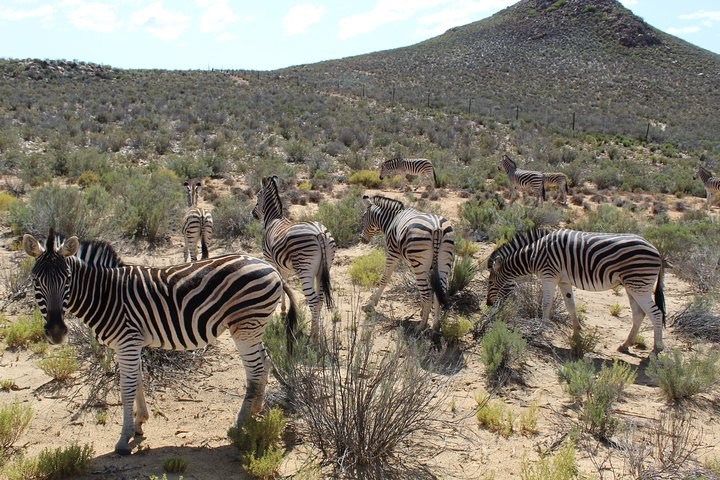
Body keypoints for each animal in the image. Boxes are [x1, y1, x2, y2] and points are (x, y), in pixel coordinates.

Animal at [22, 229, 297, 455]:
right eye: (35, 280)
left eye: (67, 279)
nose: (56, 332)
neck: (105, 295)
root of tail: (271, 268)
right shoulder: (130, 344)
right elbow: (138, 381)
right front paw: (139, 424)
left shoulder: (127, 341)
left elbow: (126, 388)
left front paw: (123, 440)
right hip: (254, 327)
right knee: (265, 362)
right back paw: (255, 411)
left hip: (245, 326)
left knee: (255, 370)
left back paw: (239, 424)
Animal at [252, 175, 335, 339]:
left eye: (257, 196)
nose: (253, 214)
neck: (274, 219)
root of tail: (319, 233)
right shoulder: (282, 266)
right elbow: (284, 284)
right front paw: (284, 312)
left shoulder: (271, 261)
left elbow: (282, 286)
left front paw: (283, 312)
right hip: (323, 269)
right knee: (320, 299)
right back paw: (317, 330)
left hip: (305, 270)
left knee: (313, 301)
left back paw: (313, 335)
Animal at [360, 195, 455, 330]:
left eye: (363, 217)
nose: (362, 239)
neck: (392, 220)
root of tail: (437, 227)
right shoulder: (420, 264)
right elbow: (423, 287)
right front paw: (422, 311)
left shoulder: (392, 253)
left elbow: (385, 278)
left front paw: (371, 304)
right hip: (442, 263)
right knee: (438, 292)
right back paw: (436, 325)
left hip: (420, 261)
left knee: (428, 296)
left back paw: (421, 326)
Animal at [486, 228, 666, 353]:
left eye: (490, 282)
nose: (488, 305)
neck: (534, 255)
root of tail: (657, 251)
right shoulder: (563, 281)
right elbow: (570, 305)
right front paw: (576, 334)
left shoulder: (548, 275)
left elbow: (546, 304)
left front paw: (541, 330)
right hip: (632, 286)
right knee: (639, 314)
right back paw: (625, 345)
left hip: (639, 284)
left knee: (656, 313)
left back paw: (657, 349)